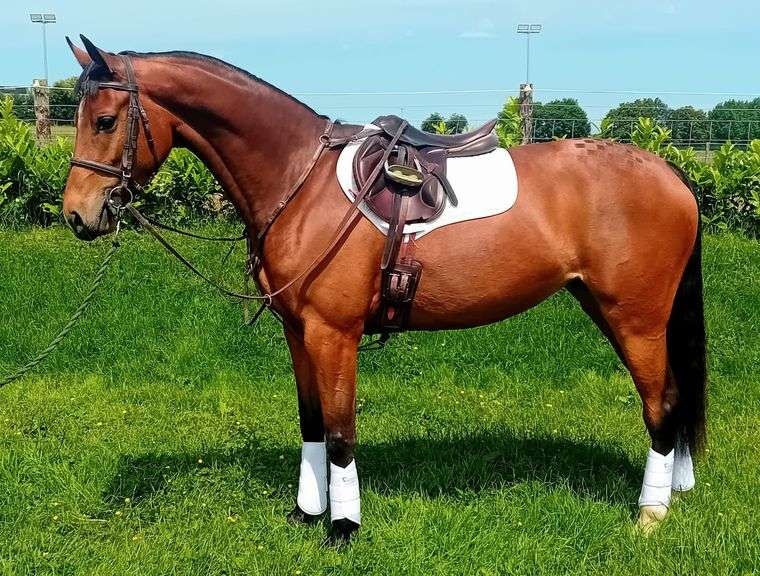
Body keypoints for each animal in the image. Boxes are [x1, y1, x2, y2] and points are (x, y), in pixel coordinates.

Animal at [62, 36, 706, 543]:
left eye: (105, 121)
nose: (77, 215)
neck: (302, 181)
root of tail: (669, 173)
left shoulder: (334, 334)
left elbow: (341, 432)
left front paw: (343, 527)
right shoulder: (299, 332)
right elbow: (311, 422)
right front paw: (306, 513)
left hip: (635, 319)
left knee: (661, 404)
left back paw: (650, 514)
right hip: (607, 307)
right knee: (675, 399)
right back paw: (678, 490)